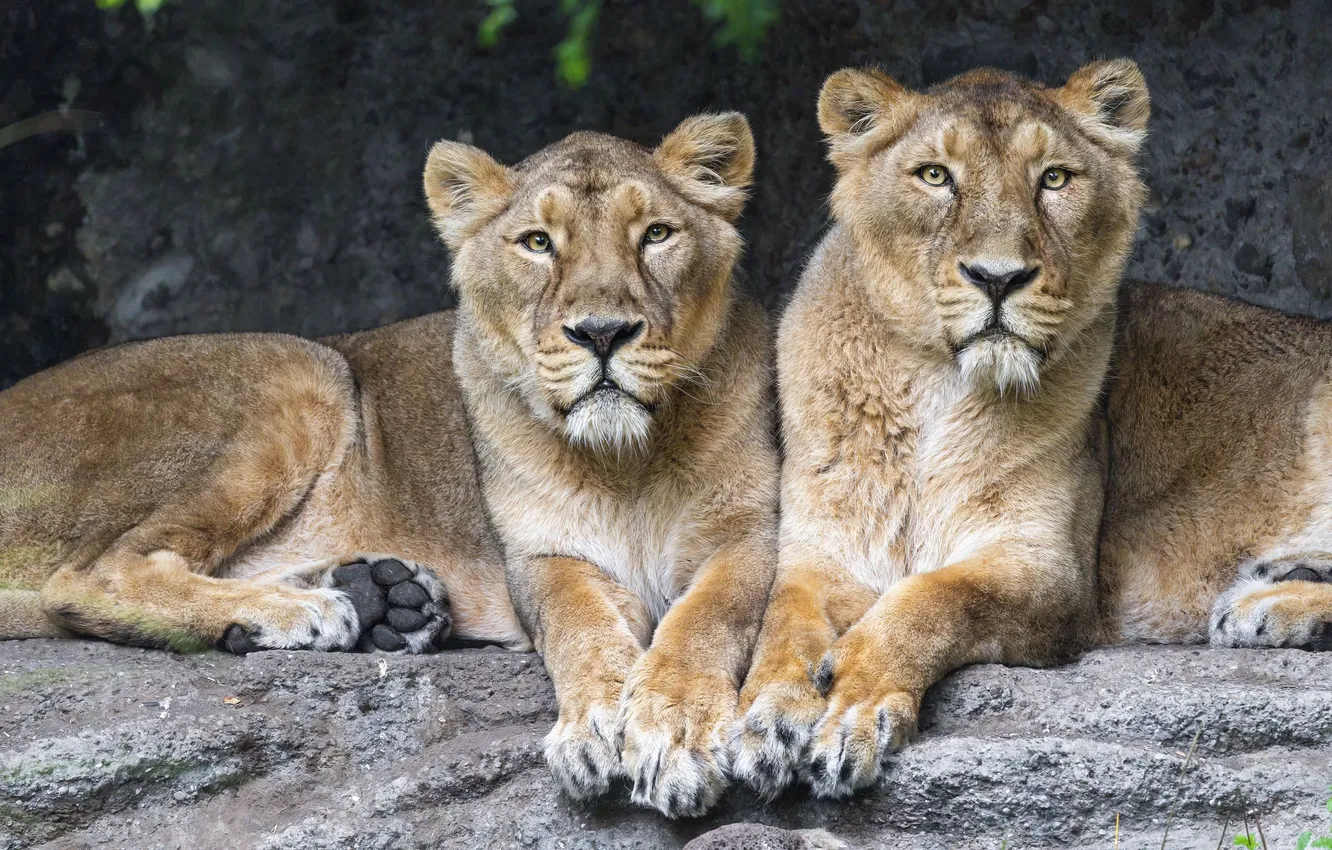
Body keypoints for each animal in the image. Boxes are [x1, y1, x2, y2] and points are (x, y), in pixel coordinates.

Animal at [0, 114, 778, 819]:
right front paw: (598, 727)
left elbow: (704, 622)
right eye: (537, 243)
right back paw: (316, 611)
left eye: (656, 235)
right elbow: (580, 631)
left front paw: (671, 733)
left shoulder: (752, 536)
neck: (629, 460)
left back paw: (383, 598)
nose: (603, 333)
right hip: (303, 364)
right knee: (95, 576)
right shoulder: (543, 557)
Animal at [731, 58, 1332, 802]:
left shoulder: (1050, 570)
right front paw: (769, 718)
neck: (933, 387)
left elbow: (934, 599)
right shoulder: (821, 555)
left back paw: (1264, 606)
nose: (998, 279)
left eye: (1054, 178)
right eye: (935, 175)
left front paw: (853, 705)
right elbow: (781, 626)